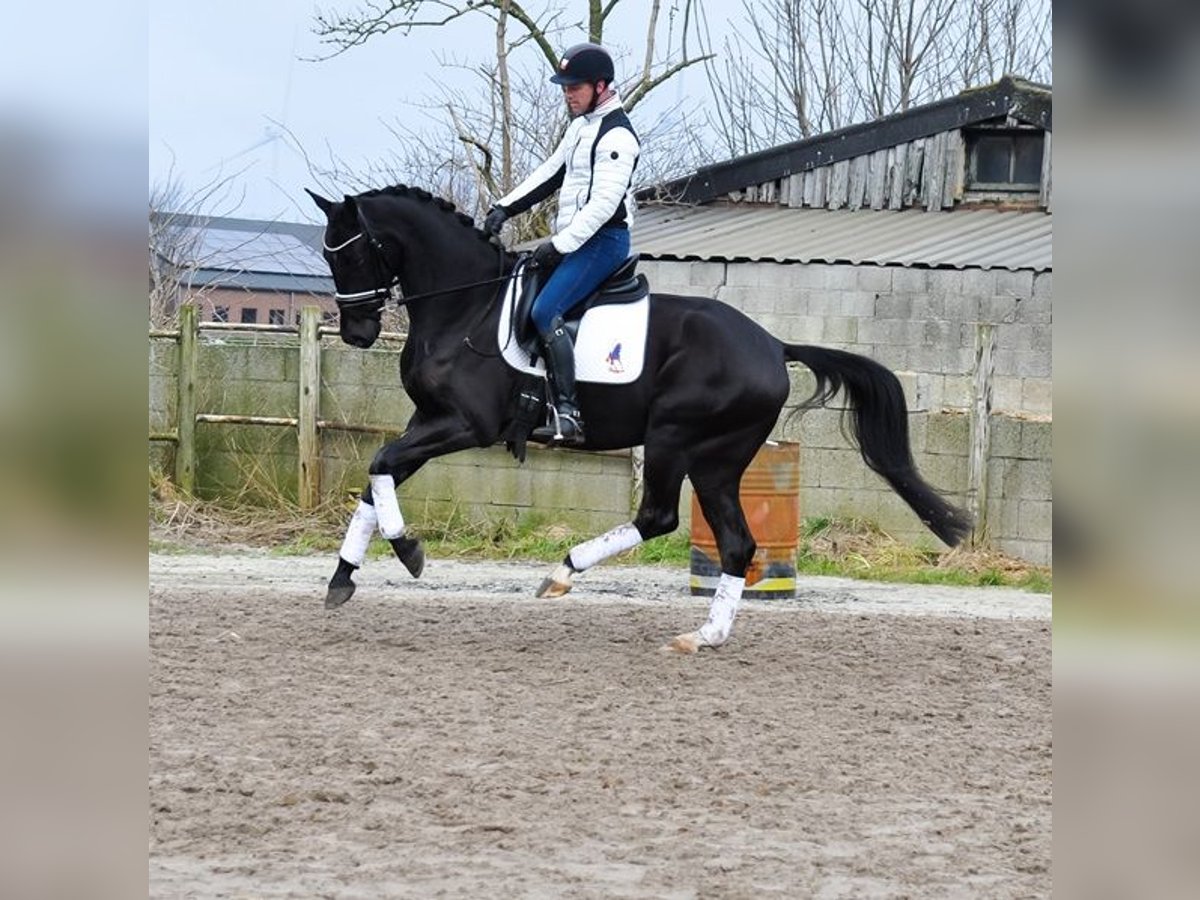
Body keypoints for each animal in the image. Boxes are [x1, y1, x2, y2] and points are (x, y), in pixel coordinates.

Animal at [304, 187, 969, 652]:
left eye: (356, 251)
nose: (357, 332)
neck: (468, 304)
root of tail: (773, 345)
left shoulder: (468, 425)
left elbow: (381, 466)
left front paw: (407, 549)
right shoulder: (429, 418)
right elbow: (376, 477)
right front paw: (342, 578)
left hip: (677, 439)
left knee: (660, 517)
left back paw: (564, 572)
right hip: (718, 462)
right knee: (735, 543)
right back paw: (704, 636)